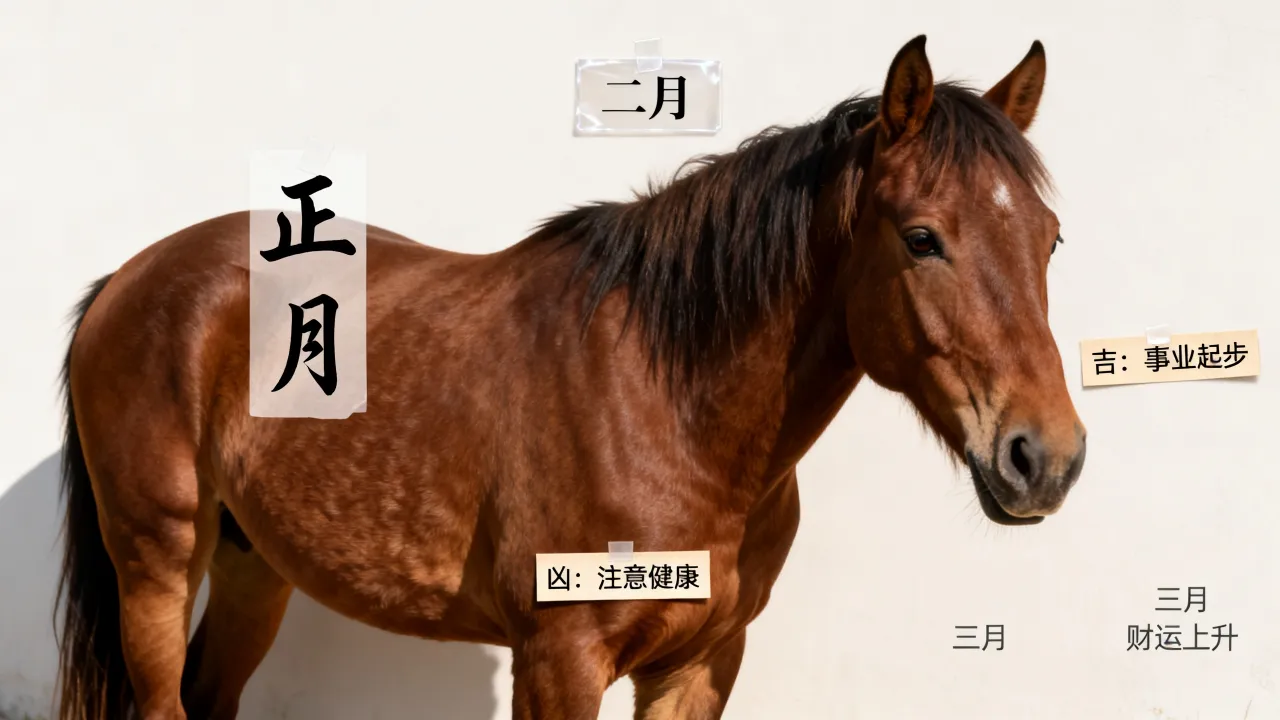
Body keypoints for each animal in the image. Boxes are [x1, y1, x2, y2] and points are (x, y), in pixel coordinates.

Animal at [53, 35, 1086, 720]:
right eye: (923, 238)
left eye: (1048, 239)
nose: (1047, 458)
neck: (665, 403)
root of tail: (129, 280)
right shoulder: (560, 660)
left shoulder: (702, 664)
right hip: (155, 558)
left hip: (251, 563)